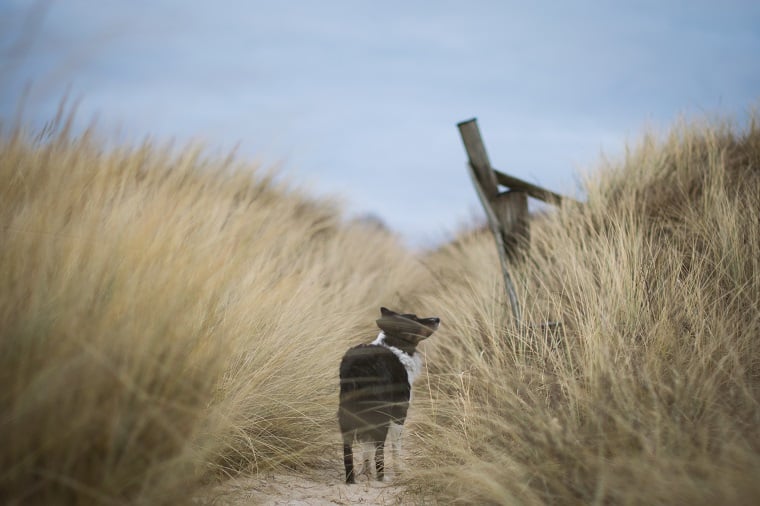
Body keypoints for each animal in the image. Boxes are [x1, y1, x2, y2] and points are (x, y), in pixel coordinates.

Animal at [338, 306, 440, 484]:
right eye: (415, 319)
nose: (437, 319)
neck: (396, 345)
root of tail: (358, 367)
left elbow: (366, 448)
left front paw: (366, 471)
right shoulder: (399, 412)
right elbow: (395, 446)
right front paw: (399, 470)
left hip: (346, 415)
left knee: (348, 451)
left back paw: (350, 479)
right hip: (382, 414)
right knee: (379, 449)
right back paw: (382, 478)